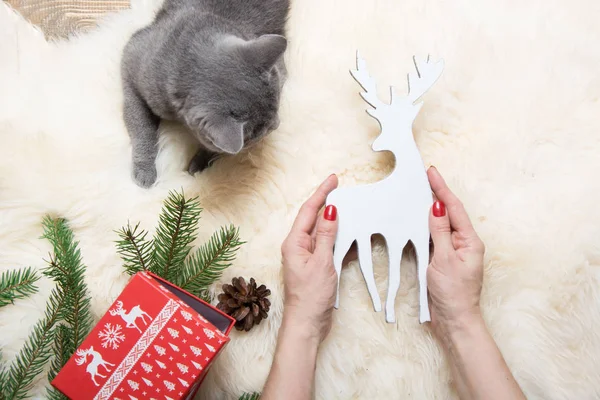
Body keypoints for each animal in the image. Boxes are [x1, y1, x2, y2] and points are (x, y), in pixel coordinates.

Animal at [120, 0, 290, 188]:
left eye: (277, 106)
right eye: (261, 133)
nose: (277, 124)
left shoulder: (281, 71)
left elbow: (217, 147)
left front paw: (200, 162)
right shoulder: (130, 60)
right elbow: (142, 127)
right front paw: (145, 172)